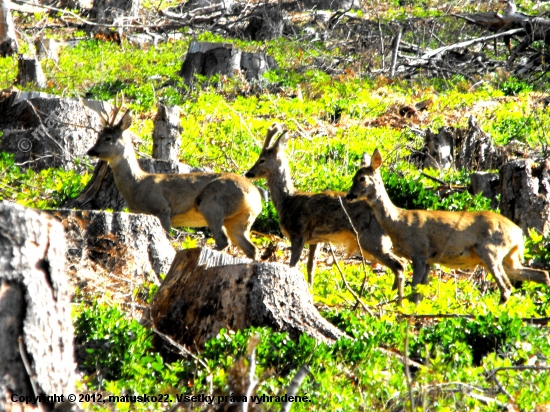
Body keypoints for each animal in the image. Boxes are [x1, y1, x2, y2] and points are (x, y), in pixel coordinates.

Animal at [87, 100, 264, 260]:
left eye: (108, 138)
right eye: (98, 136)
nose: (91, 151)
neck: (136, 185)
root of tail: (255, 195)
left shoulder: (162, 209)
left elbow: (167, 237)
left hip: (213, 205)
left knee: (224, 241)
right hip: (239, 219)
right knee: (251, 248)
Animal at [245, 124, 406, 300]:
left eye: (261, 160)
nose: (248, 173)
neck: (287, 201)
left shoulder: (298, 233)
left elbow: (293, 265)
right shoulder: (316, 240)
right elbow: (310, 266)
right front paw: (310, 289)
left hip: (371, 239)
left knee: (399, 264)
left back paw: (397, 300)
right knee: (401, 263)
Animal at [350, 148, 550, 302]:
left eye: (362, 178)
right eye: (353, 177)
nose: (349, 195)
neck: (398, 223)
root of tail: (518, 233)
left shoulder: (419, 252)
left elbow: (414, 291)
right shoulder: (429, 260)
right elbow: (420, 294)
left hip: (490, 250)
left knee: (506, 287)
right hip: (510, 257)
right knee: (541, 275)